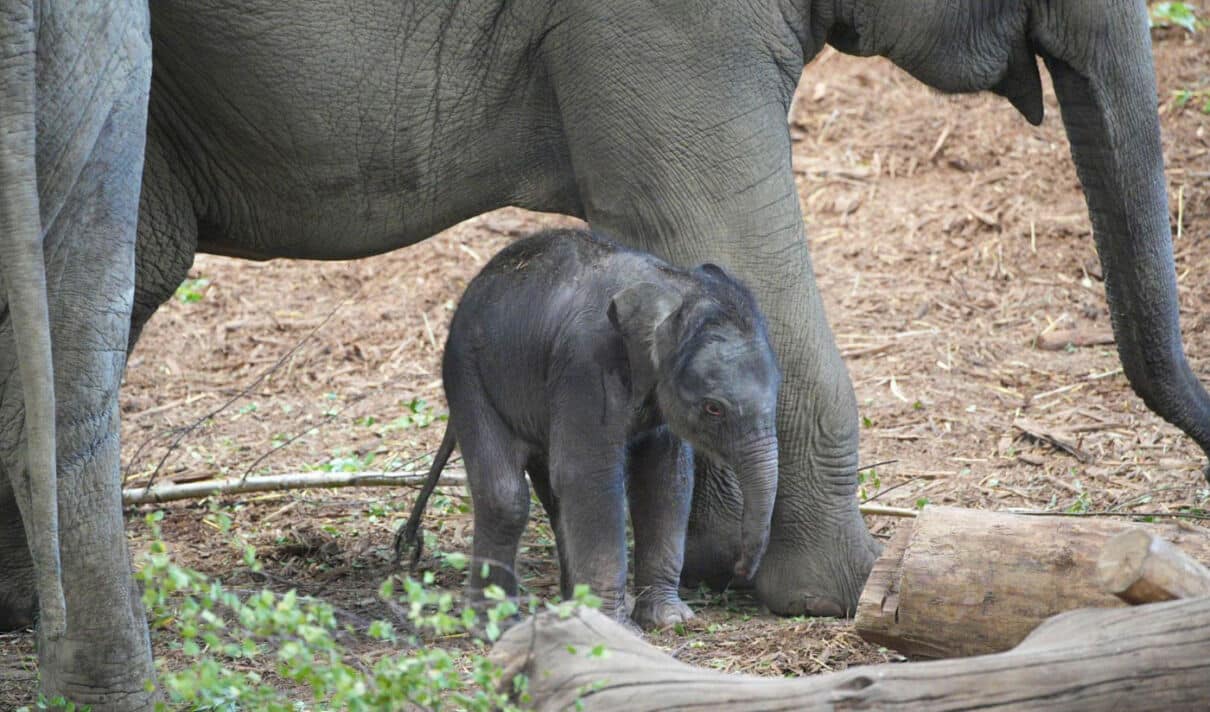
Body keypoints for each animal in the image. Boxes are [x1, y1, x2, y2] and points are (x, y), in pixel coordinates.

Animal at [392, 228, 779, 629]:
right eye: (713, 408)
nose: (741, 570)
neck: (671, 283)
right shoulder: (586, 363)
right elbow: (588, 475)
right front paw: (618, 626)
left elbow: (664, 478)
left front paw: (669, 619)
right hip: (469, 375)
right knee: (506, 497)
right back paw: (498, 624)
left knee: (554, 496)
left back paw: (570, 607)